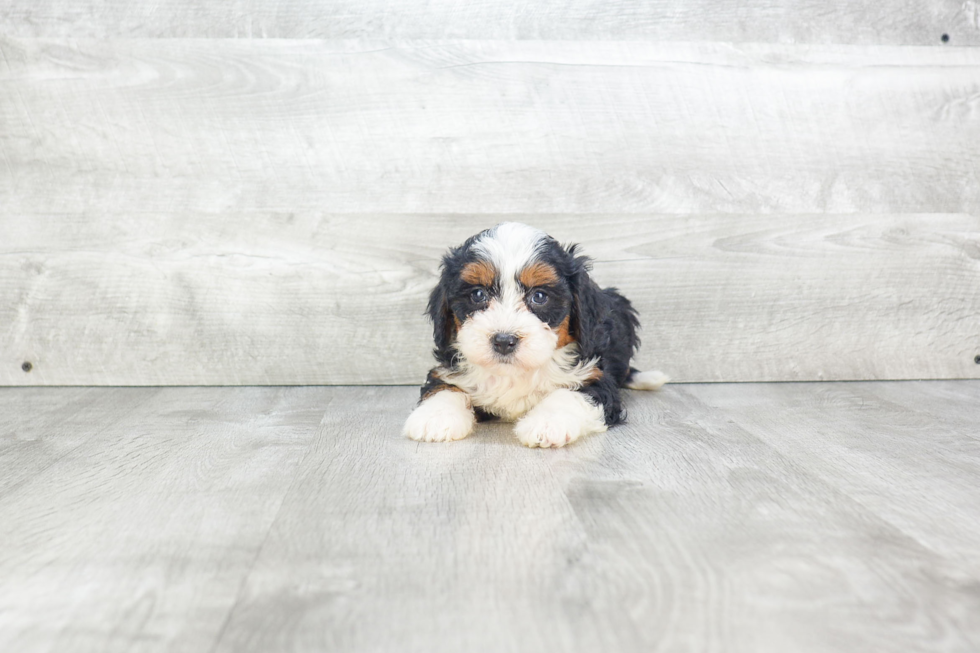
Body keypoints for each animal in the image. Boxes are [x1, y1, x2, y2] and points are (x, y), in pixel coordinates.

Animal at [402, 222, 668, 446]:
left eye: (539, 296)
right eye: (478, 295)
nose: (504, 341)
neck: (514, 373)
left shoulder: (596, 378)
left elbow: (571, 394)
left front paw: (547, 423)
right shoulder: (448, 368)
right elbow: (444, 386)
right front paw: (434, 417)